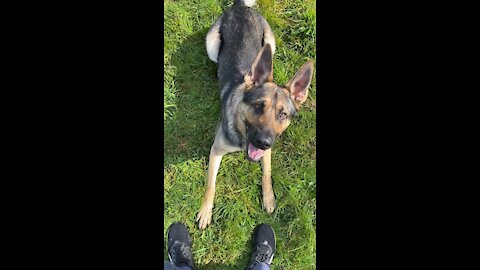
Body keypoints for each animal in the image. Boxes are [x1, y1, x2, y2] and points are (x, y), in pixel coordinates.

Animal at [197, 0, 314, 230]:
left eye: (282, 114)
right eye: (259, 106)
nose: (264, 142)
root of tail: (239, 6)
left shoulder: (266, 152)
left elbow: (267, 174)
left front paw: (269, 198)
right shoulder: (216, 151)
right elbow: (210, 185)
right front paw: (205, 211)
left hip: (270, 42)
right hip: (212, 45)